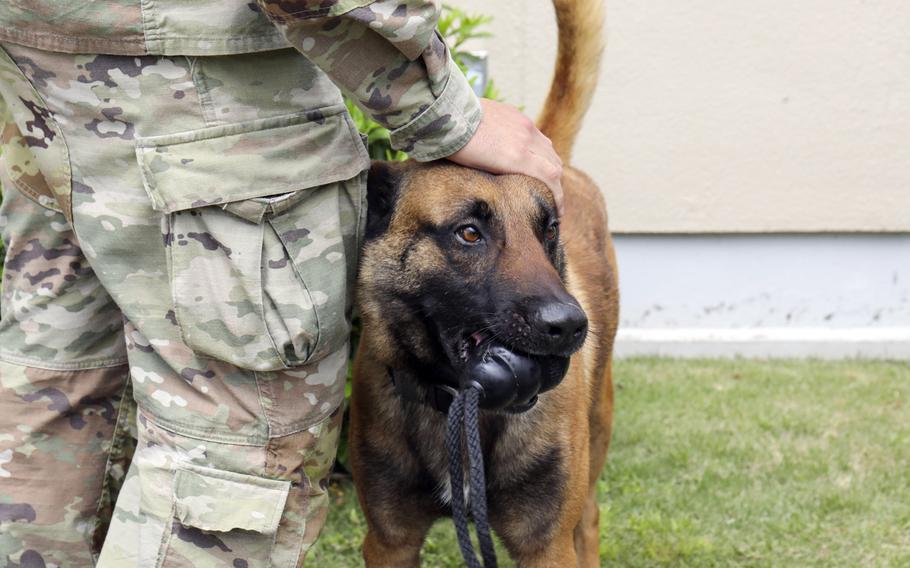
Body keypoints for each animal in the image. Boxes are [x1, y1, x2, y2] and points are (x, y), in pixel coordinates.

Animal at [350, 0, 620, 564]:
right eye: (469, 233)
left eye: (548, 230)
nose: (569, 326)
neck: (460, 396)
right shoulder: (390, 541)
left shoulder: (546, 546)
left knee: (589, 518)